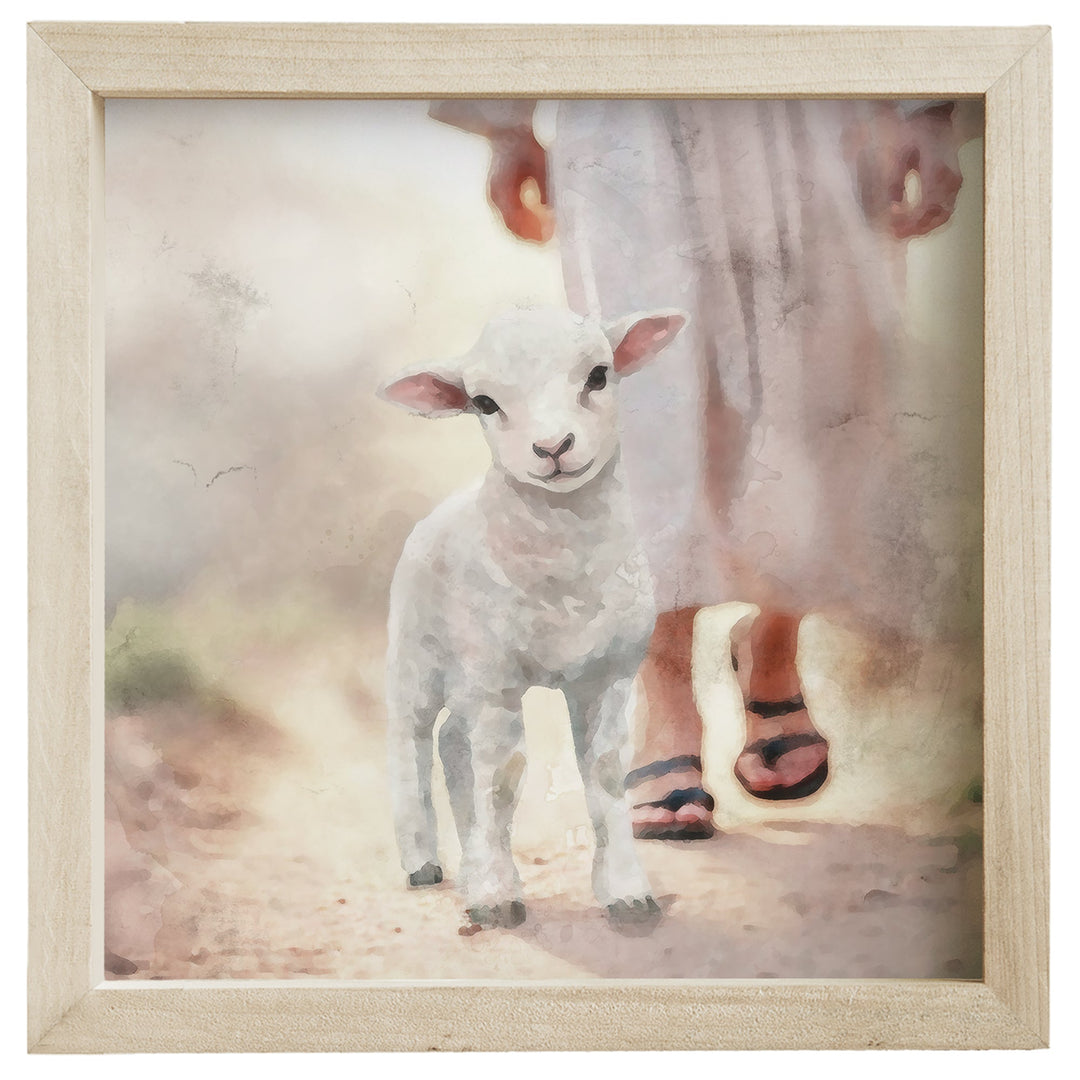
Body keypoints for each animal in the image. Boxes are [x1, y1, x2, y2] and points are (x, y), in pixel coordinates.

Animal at [379, 305, 687, 928]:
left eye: (599, 374)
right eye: (483, 403)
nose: (552, 447)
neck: (563, 567)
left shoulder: (607, 676)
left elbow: (605, 774)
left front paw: (626, 891)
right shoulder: (496, 680)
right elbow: (502, 779)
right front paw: (498, 895)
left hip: (468, 677)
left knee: (454, 744)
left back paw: (468, 860)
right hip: (418, 659)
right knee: (412, 747)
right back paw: (423, 861)